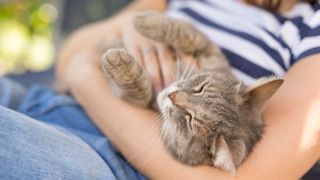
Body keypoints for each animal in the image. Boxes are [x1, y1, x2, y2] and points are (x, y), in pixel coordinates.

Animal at [100, 10, 282, 174]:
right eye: (200, 89)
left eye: (189, 120)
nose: (171, 95)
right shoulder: (212, 53)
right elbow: (189, 34)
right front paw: (144, 21)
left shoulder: (144, 102)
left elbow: (140, 93)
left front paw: (118, 63)